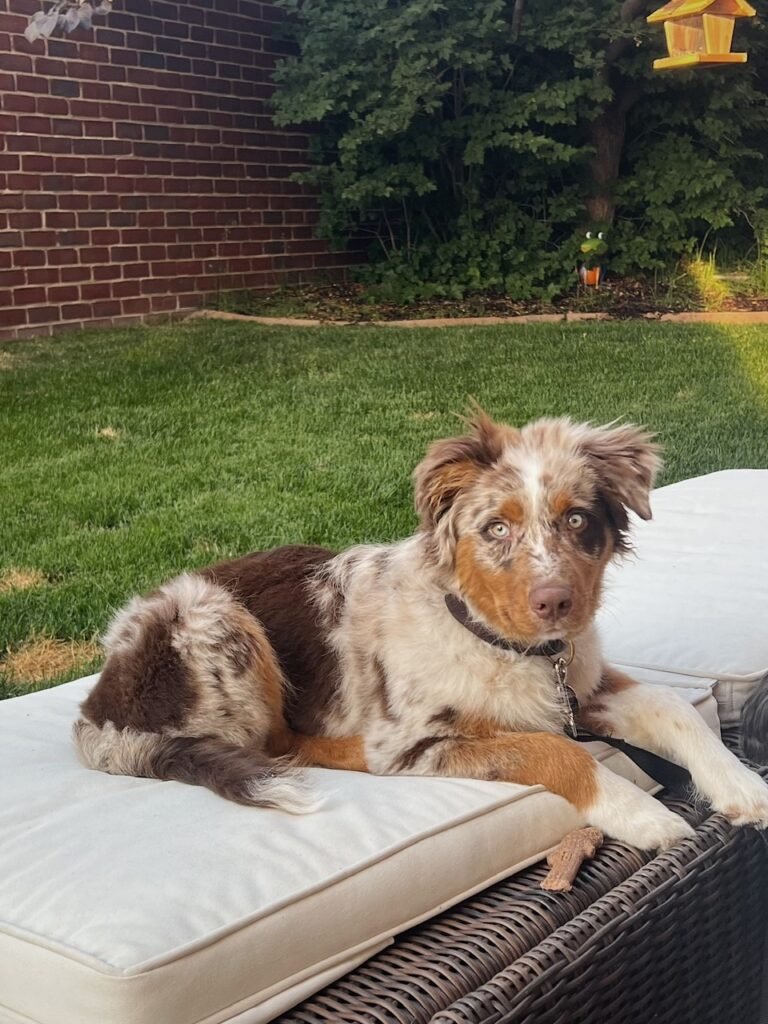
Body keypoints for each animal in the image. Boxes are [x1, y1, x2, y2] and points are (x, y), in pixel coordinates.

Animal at [73, 407, 768, 847]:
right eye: (496, 527)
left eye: (576, 520)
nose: (557, 603)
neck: (509, 646)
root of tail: (97, 709)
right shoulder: (419, 738)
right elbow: (555, 749)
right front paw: (645, 816)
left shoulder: (581, 687)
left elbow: (672, 706)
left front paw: (743, 788)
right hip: (215, 617)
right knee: (277, 744)